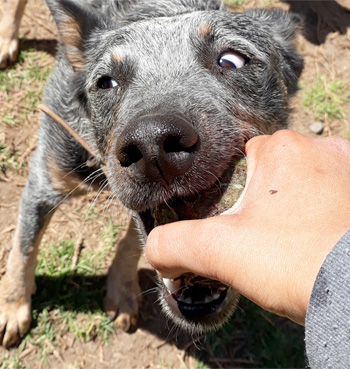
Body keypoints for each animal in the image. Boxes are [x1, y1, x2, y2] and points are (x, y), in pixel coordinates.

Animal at [0, 0, 304, 346]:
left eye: (232, 61)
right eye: (105, 82)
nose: (152, 143)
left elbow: (135, 240)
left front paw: (121, 290)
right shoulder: (45, 176)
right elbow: (23, 249)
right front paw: (12, 307)